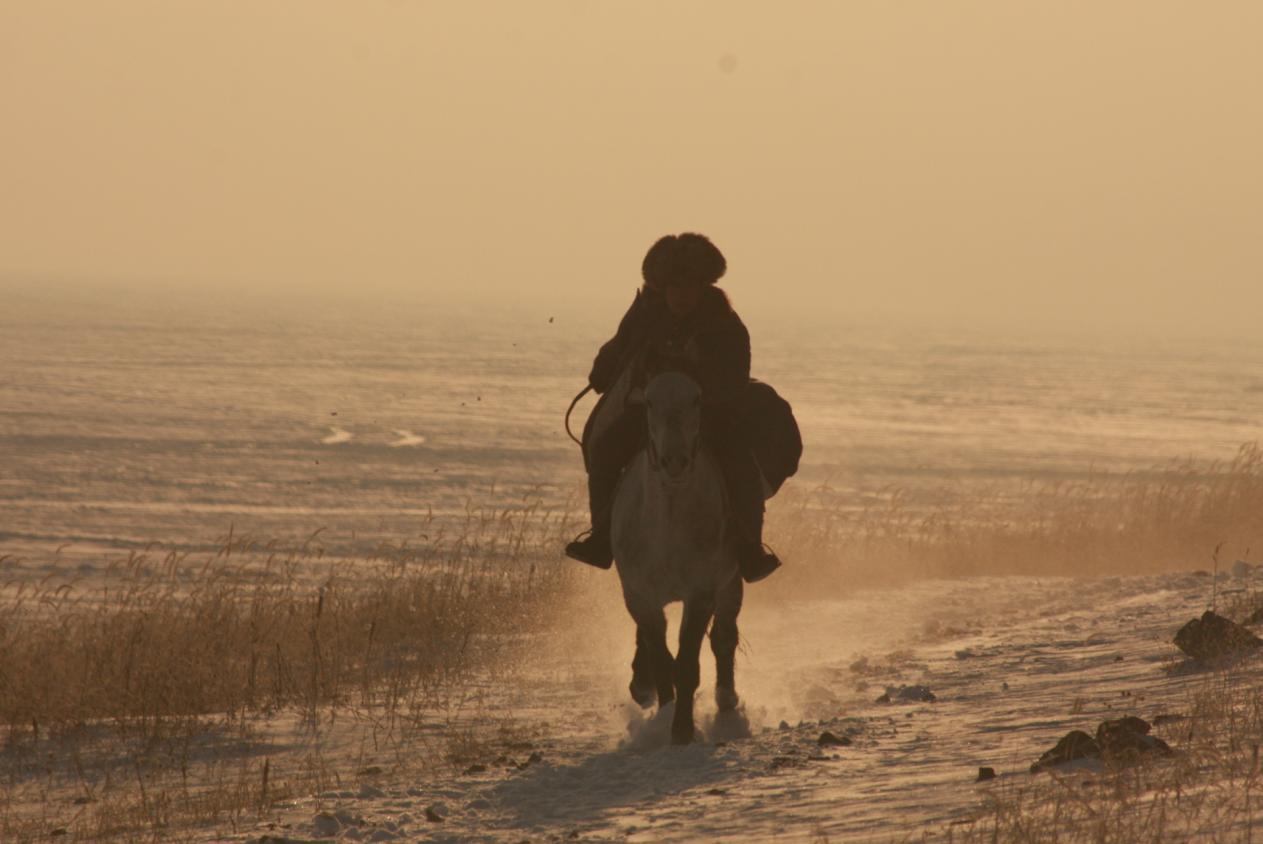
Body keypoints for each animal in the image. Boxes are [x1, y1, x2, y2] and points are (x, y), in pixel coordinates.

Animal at [603, 368, 737, 742]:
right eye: (649, 401)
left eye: (697, 398)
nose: (674, 462)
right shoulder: (639, 596)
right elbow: (662, 660)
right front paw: (664, 715)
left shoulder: (701, 594)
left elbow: (687, 663)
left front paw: (683, 730)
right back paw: (642, 685)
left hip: (731, 584)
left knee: (724, 636)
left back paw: (727, 698)